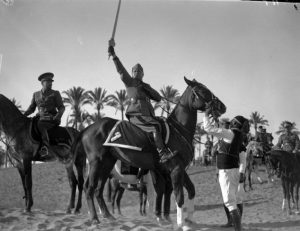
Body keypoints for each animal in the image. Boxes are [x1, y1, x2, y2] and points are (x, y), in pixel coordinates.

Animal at [73, 76, 225, 227]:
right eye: (203, 90)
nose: (222, 106)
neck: (178, 131)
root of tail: (87, 128)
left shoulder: (178, 169)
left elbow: (190, 190)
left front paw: (187, 219)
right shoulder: (175, 169)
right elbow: (178, 196)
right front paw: (180, 223)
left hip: (107, 164)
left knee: (98, 189)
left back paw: (108, 216)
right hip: (96, 163)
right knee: (89, 187)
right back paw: (94, 218)